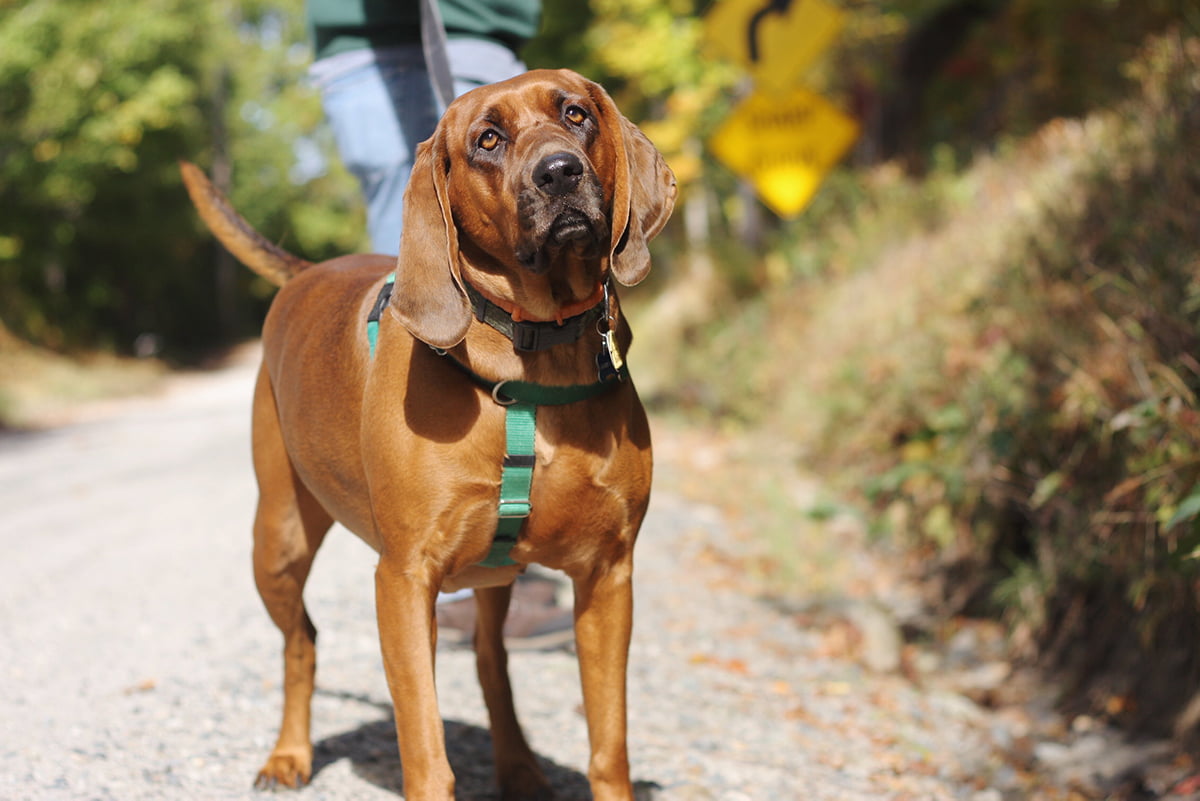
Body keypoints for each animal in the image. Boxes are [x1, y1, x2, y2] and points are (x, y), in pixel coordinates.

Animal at [183, 70, 681, 801]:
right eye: (488, 140)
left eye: (576, 114)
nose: (560, 171)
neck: (533, 358)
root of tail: (307, 269)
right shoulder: (403, 579)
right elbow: (424, 748)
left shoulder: (608, 573)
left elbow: (607, 745)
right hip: (277, 540)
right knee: (302, 641)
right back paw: (288, 754)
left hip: (494, 576)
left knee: (490, 660)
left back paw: (519, 766)